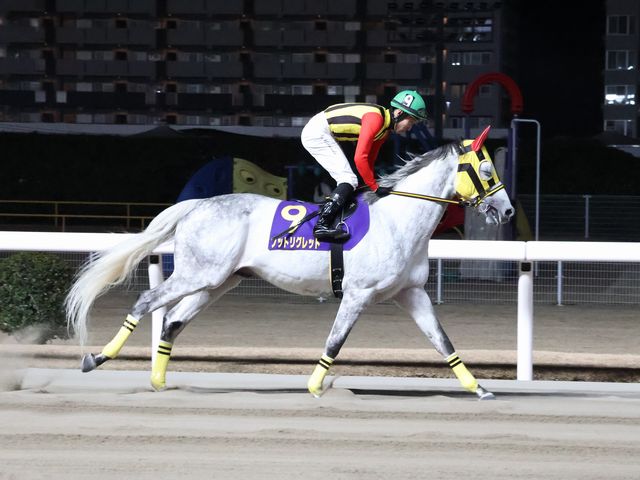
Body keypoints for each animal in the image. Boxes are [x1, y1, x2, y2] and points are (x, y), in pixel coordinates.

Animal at [66, 126, 514, 400]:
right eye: (487, 170)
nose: (508, 211)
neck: (399, 221)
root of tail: (197, 204)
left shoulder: (412, 293)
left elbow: (444, 342)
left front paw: (479, 388)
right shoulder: (357, 294)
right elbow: (335, 341)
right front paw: (315, 387)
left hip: (218, 281)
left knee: (173, 321)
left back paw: (159, 380)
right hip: (198, 273)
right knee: (146, 301)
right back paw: (96, 359)